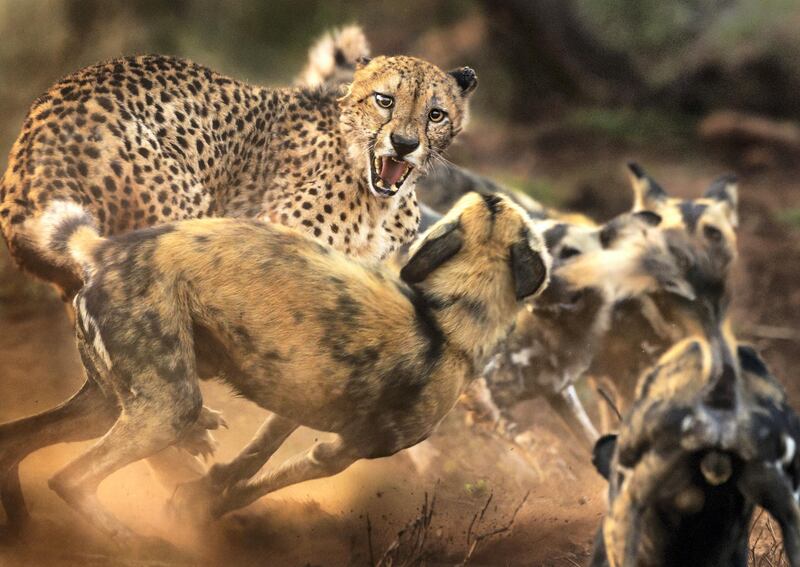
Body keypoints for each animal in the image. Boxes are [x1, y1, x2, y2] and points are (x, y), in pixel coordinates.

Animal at [17, 193, 544, 544]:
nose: (497, 193)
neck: (451, 316)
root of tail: (105, 250)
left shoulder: (297, 405)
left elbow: (248, 461)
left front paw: (200, 490)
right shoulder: (340, 453)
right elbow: (256, 486)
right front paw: (202, 507)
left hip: (112, 405)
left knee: (16, 443)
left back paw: (21, 523)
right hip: (163, 412)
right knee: (71, 478)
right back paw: (139, 542)